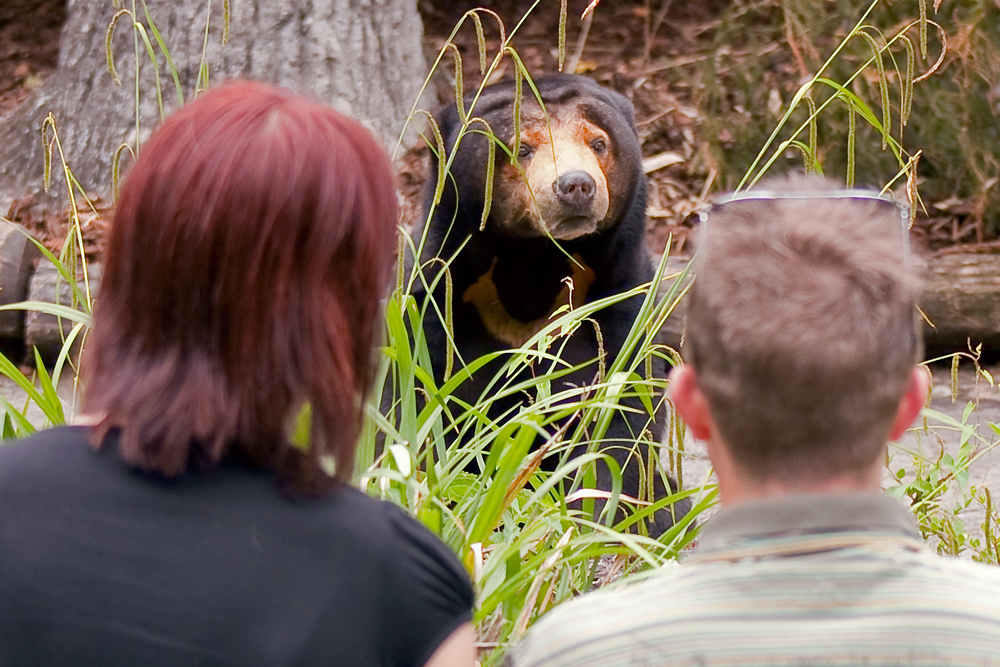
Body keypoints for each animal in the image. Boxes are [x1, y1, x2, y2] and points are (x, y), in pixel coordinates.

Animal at [414, 74, 688, 536]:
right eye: (521, 149)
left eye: (598, 143)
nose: (576, 185)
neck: (534, 263)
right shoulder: (438, 294)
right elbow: (420, 392)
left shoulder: (620, 302)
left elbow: (618, 416)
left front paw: (594, 517)